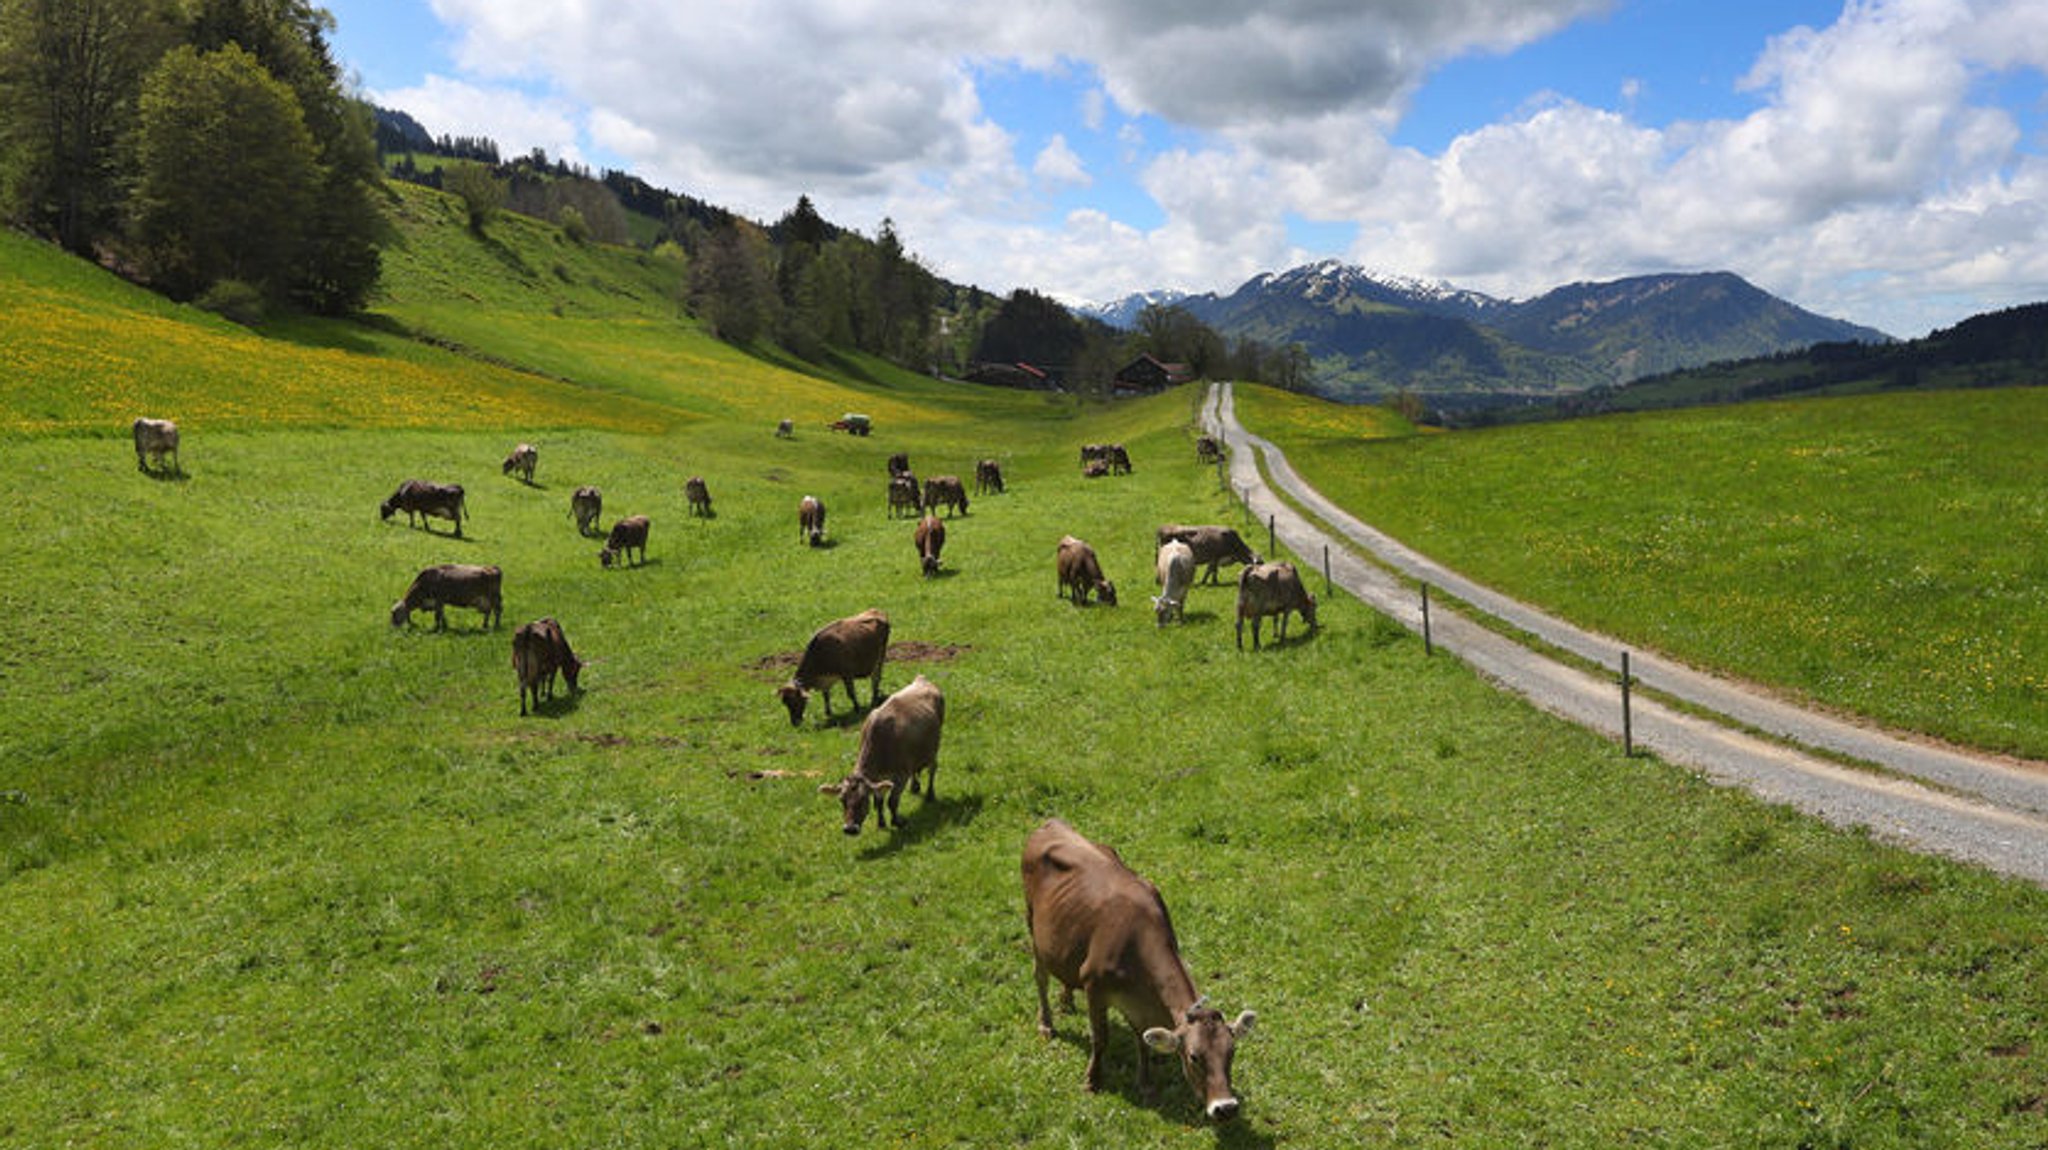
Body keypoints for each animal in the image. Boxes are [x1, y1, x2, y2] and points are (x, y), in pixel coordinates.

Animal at [815, 671, 942, 830]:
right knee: (916, 769)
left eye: (863, 799)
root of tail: (921, 679)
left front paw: (896, 822)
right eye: (842, 800)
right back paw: (914, 787)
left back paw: (930, 795)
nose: (850, 829)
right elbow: (879, 801)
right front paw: (881, 823)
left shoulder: (901, 775)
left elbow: (892, 802)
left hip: (934, 747)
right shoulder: (877, 778)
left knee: (932, 769)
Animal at [1019, 814, 1253, 1121]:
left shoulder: (1139, 1003)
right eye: (1194, 1057)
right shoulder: (1095, 987)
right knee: (1040, 977)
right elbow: (1100, 1039)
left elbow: (1143, 1040)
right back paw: (1046, 1023)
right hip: (1033, 925)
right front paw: (1092, 1081)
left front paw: (1145, 1083)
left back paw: (1067, 1000)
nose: (1226, 1108)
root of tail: (1052, 822)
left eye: (1232, 1052)